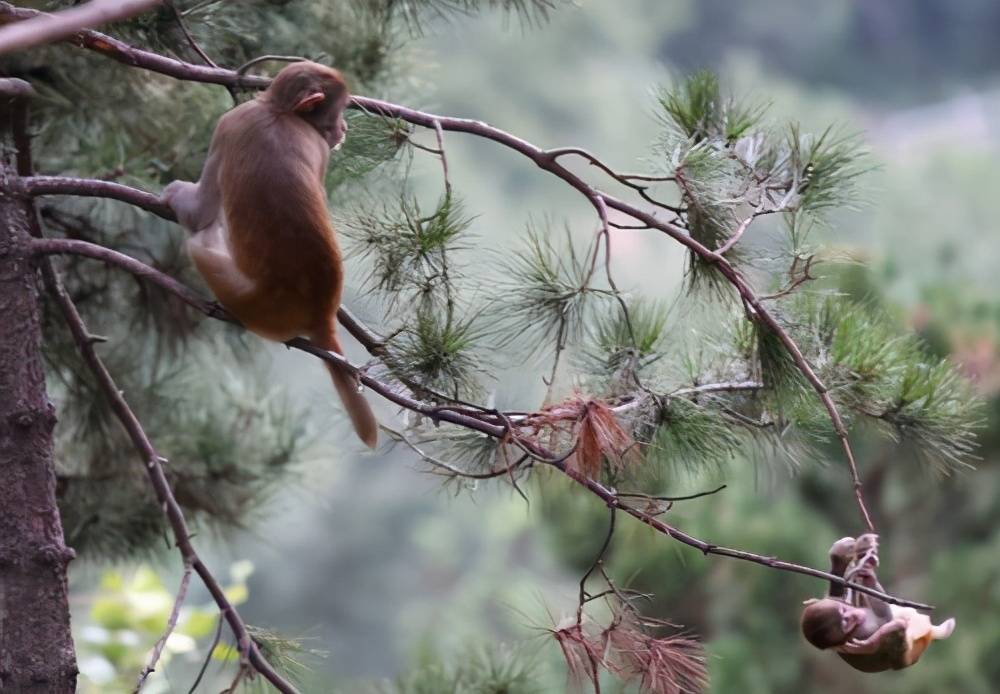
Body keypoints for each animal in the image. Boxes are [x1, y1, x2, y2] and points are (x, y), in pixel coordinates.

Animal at [164, 62, 378, 448]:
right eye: (339, 111)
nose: (344, 128)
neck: (278, 112)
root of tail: (319, 313)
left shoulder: (229, 123)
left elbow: (201, 213)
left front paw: (174, 195)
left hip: (253, 303)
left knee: (201, 239)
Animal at [800, 532, 956, 676]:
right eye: (845, 621)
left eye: (845, 613)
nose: (854, 616)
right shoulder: (861, 630)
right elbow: (884, 619)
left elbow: (840, 595)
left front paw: (842, 557)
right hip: (909, 652)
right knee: (897, 630)